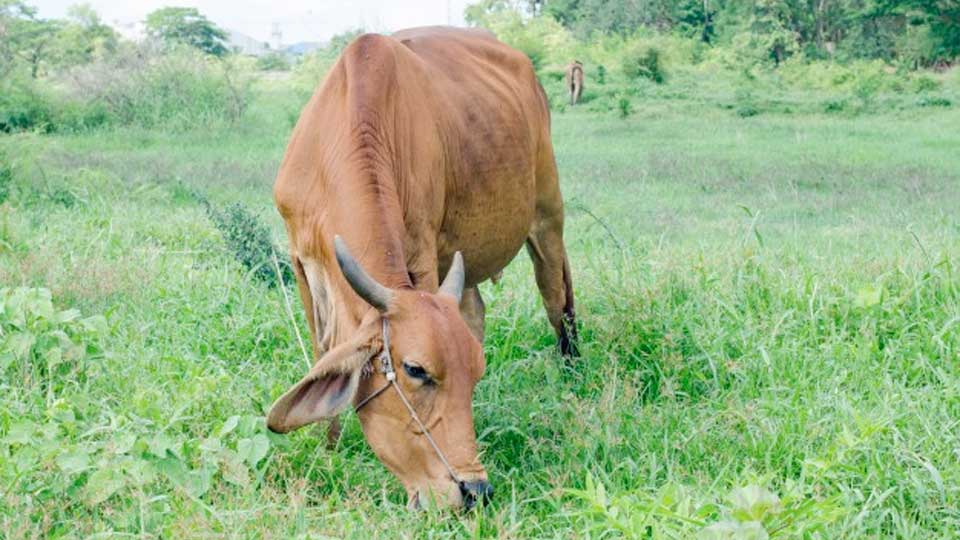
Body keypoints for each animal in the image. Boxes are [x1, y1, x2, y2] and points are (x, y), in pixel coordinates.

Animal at [264, 27, 576, 510]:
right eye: (415, 370)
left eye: (476, 374)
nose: (474, 491)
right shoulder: (302, 262)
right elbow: (323, 351)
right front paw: (329, 449)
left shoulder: (423, 254)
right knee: (476, 309)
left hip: (546, 216)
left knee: (556, 298)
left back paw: (572, 372)